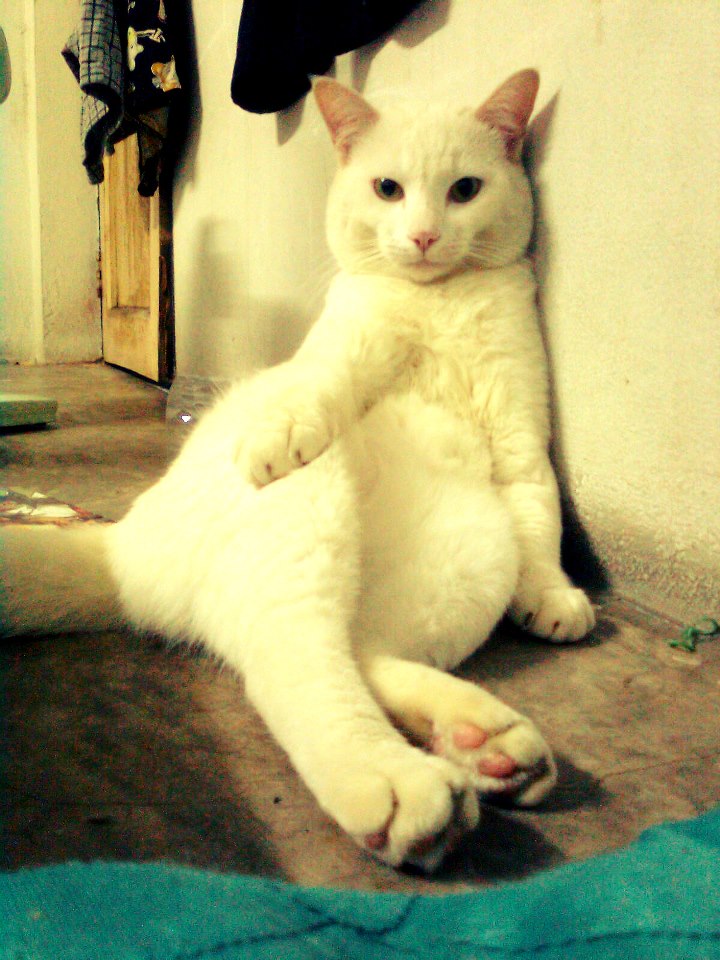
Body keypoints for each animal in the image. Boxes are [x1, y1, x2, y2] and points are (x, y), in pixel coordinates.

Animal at [1, 70, 595, 870]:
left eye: (465, 189)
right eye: (387, 188)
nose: (423, 236)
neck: (437, 301)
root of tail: (123, 540)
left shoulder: (521, 440)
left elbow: (543, 516)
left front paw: (553, 596)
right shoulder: (341, 347)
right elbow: (320, 380)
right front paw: (281, 428)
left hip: (474, 545)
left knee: (360, 652)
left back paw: (483, 743)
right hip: (310, 514)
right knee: (296, 659)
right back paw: (397, 782)